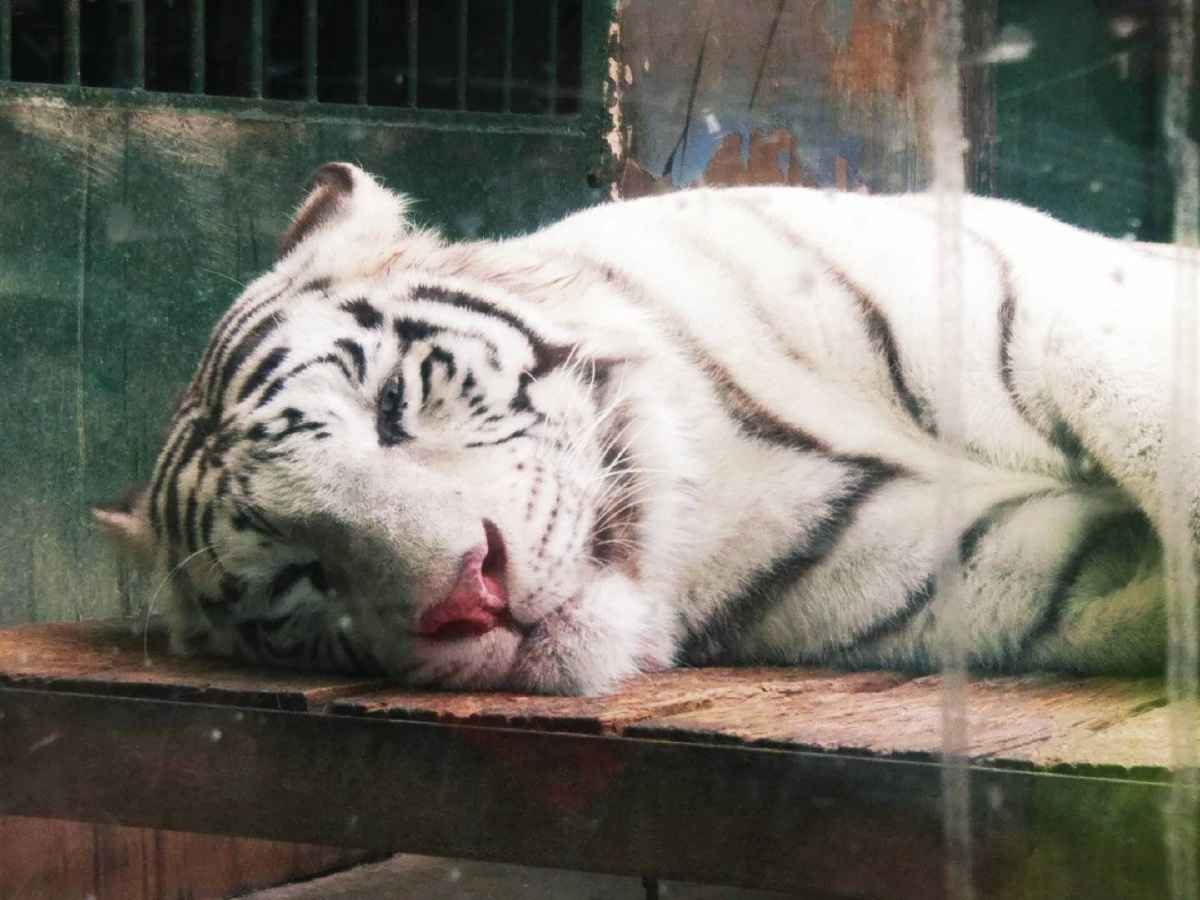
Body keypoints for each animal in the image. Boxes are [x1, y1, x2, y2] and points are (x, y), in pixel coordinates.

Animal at [94, 161, 1191, 696]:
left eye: (394, 404)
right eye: (297, 579)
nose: (468, 595)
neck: (736, 458)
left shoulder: (1070, 307)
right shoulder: (1009, 570)